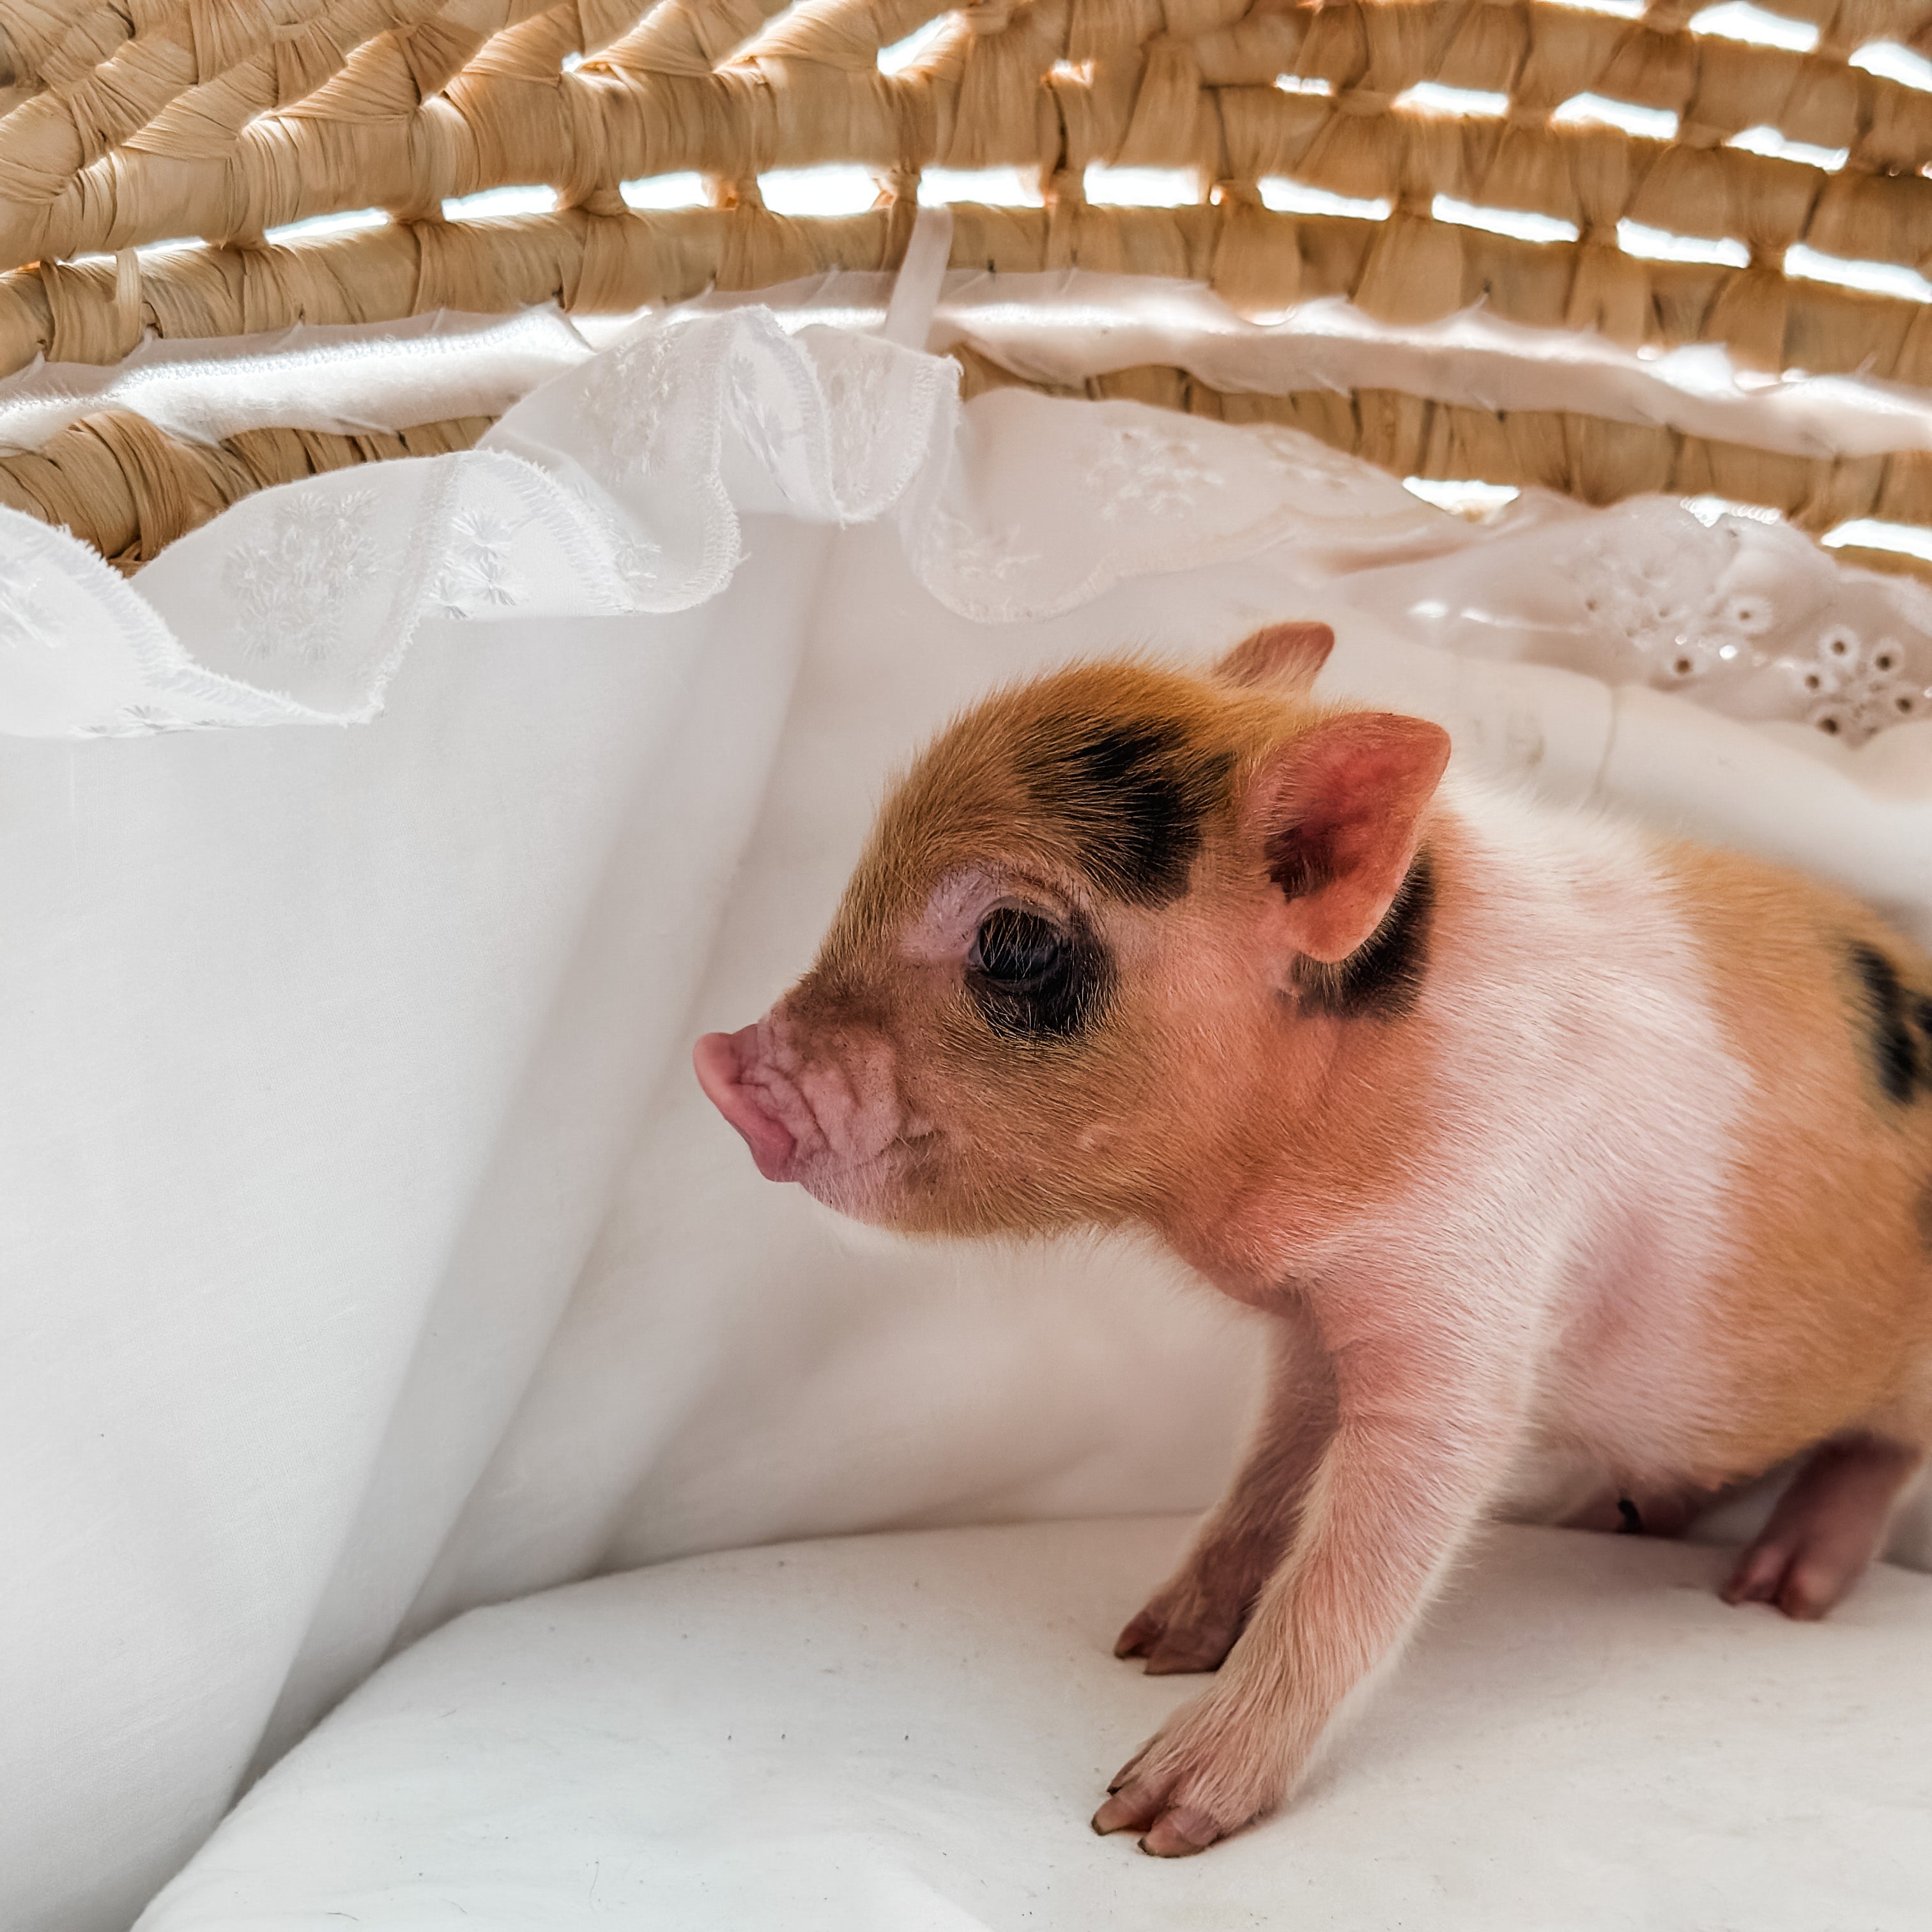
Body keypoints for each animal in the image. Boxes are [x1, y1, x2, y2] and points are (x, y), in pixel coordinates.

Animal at [693, 622, 1932, 1857]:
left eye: (1013, 941)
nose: (717, 1064)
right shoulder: (1312, 1325)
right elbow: (1269, 1465)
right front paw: (1147, 1644)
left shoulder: (1470, 1295)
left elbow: (1360, 1557)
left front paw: (1142, 1819)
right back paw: (1621, 1525)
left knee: (1875, 1456)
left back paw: (1773, 1594)